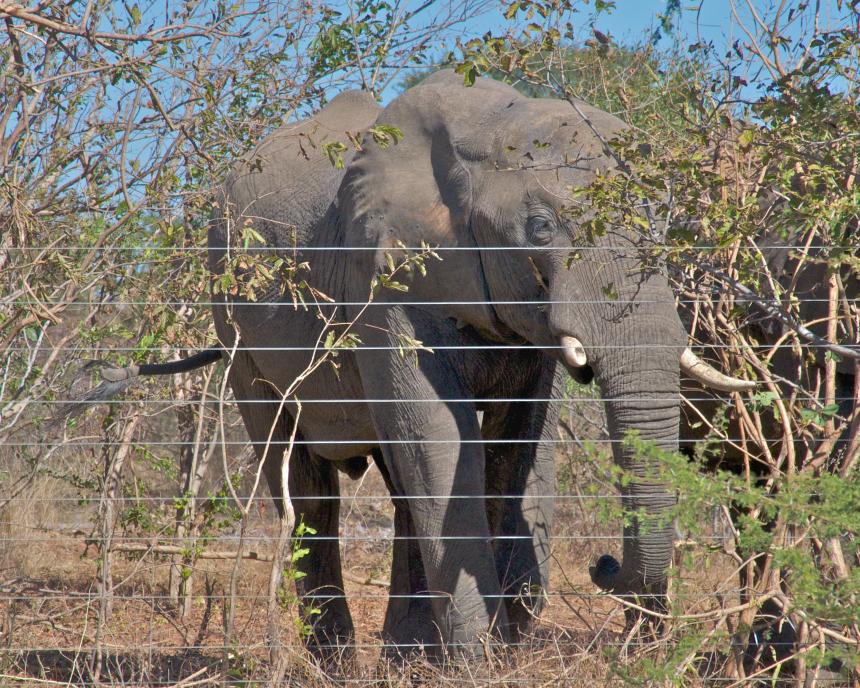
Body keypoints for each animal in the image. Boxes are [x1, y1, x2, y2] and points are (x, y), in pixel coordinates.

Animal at [94, 68, 752, 656]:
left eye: (665, 224)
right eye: (540, 229)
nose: (604, 563)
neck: (495, 122)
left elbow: (516, 443)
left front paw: (501, 641)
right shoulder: (386, 276)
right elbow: (437, 435)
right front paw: (481, 658)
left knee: (399, 483)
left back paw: (404, 655)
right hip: (231, 312)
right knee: (305, 482)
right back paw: (334, 661)